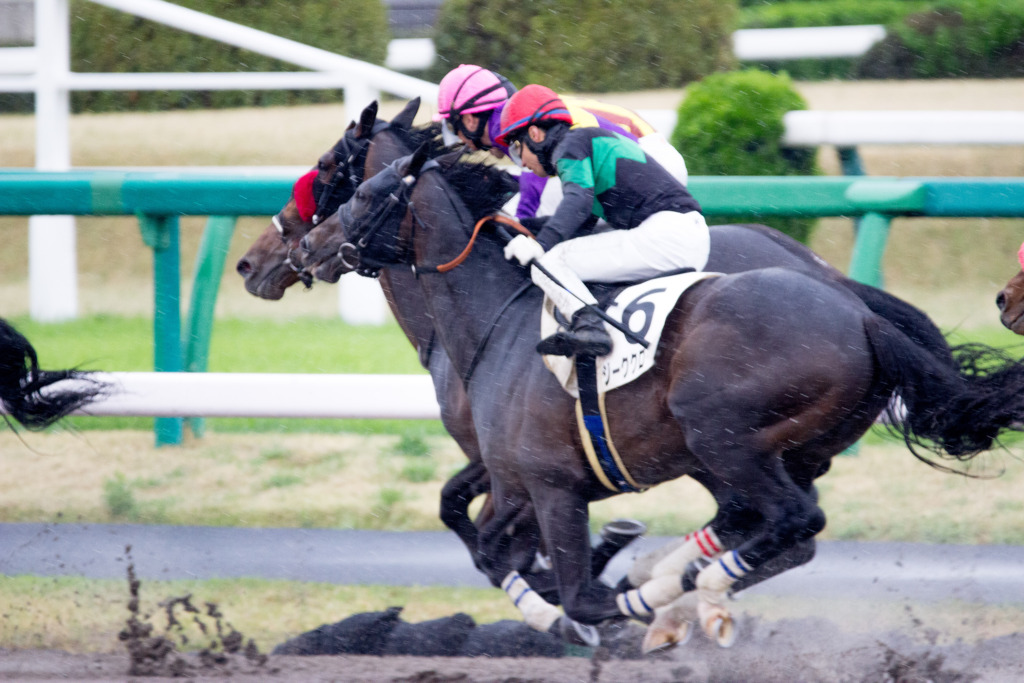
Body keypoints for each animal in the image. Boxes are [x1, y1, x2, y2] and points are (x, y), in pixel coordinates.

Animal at [337, 147, 1024, 651]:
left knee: (795, 521)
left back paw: (683, 589)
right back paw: (682, 581)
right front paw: (577, 599)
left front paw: (612, 607)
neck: (498, 322)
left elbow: (579, 592)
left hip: (719, 435)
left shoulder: (552, 486)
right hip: (777, 451)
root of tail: (858, 314)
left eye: (363, 193)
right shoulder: (512, 484)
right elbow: (486, 546)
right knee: (771, 527)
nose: (323, 244)